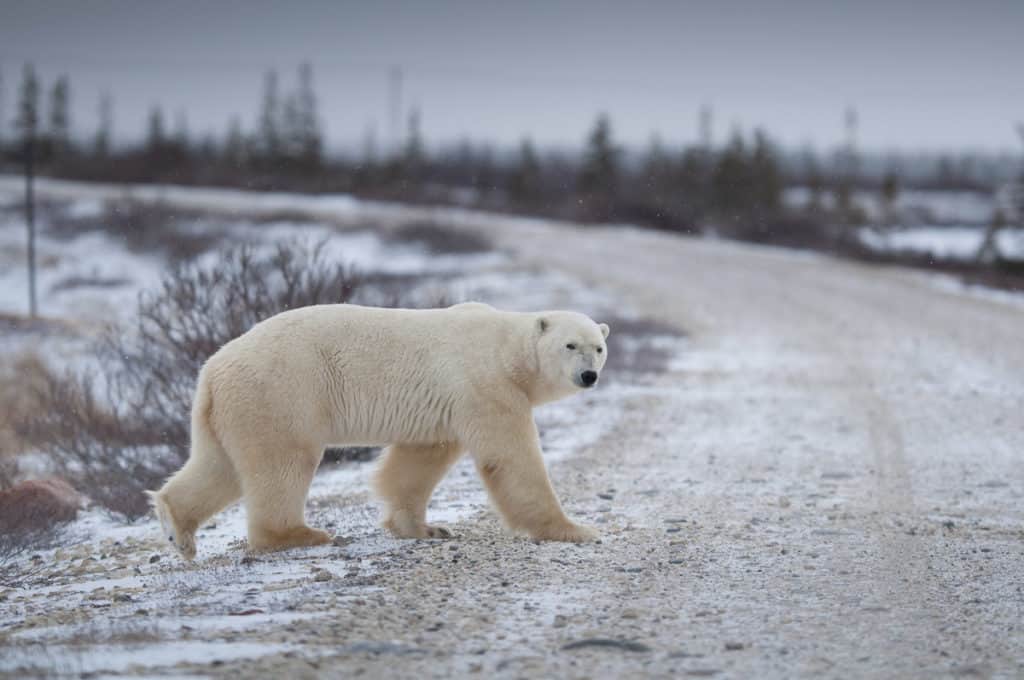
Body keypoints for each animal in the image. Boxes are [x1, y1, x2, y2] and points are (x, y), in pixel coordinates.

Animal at [149, 303, 610, 557]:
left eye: (599, 347)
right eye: (571, 345)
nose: (588, 375)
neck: (504, 349)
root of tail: (211, 369)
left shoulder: (445, 405)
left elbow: (419, 459)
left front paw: (425, 528)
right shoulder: (485, 386)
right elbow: (511, 458)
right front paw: (575, 530)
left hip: (232, 408)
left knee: (218, 466)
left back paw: (177, 527)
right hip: (281, 391)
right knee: (283, 462)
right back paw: (300, 534)